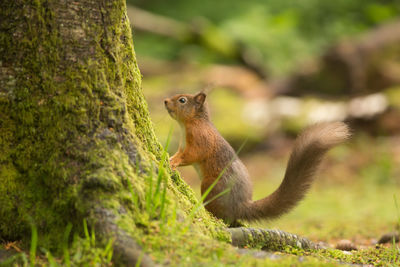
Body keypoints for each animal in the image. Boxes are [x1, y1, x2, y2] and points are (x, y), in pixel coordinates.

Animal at [164, 92, 348, 226]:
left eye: (182, 100)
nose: (165, 101)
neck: (189, 124)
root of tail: (240, 206)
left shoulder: (201, 140)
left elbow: (191, 155)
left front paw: (173, 163)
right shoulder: (183, 146)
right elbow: (180, 153)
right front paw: (170, 157)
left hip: (212, 186)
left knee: (223, 216)